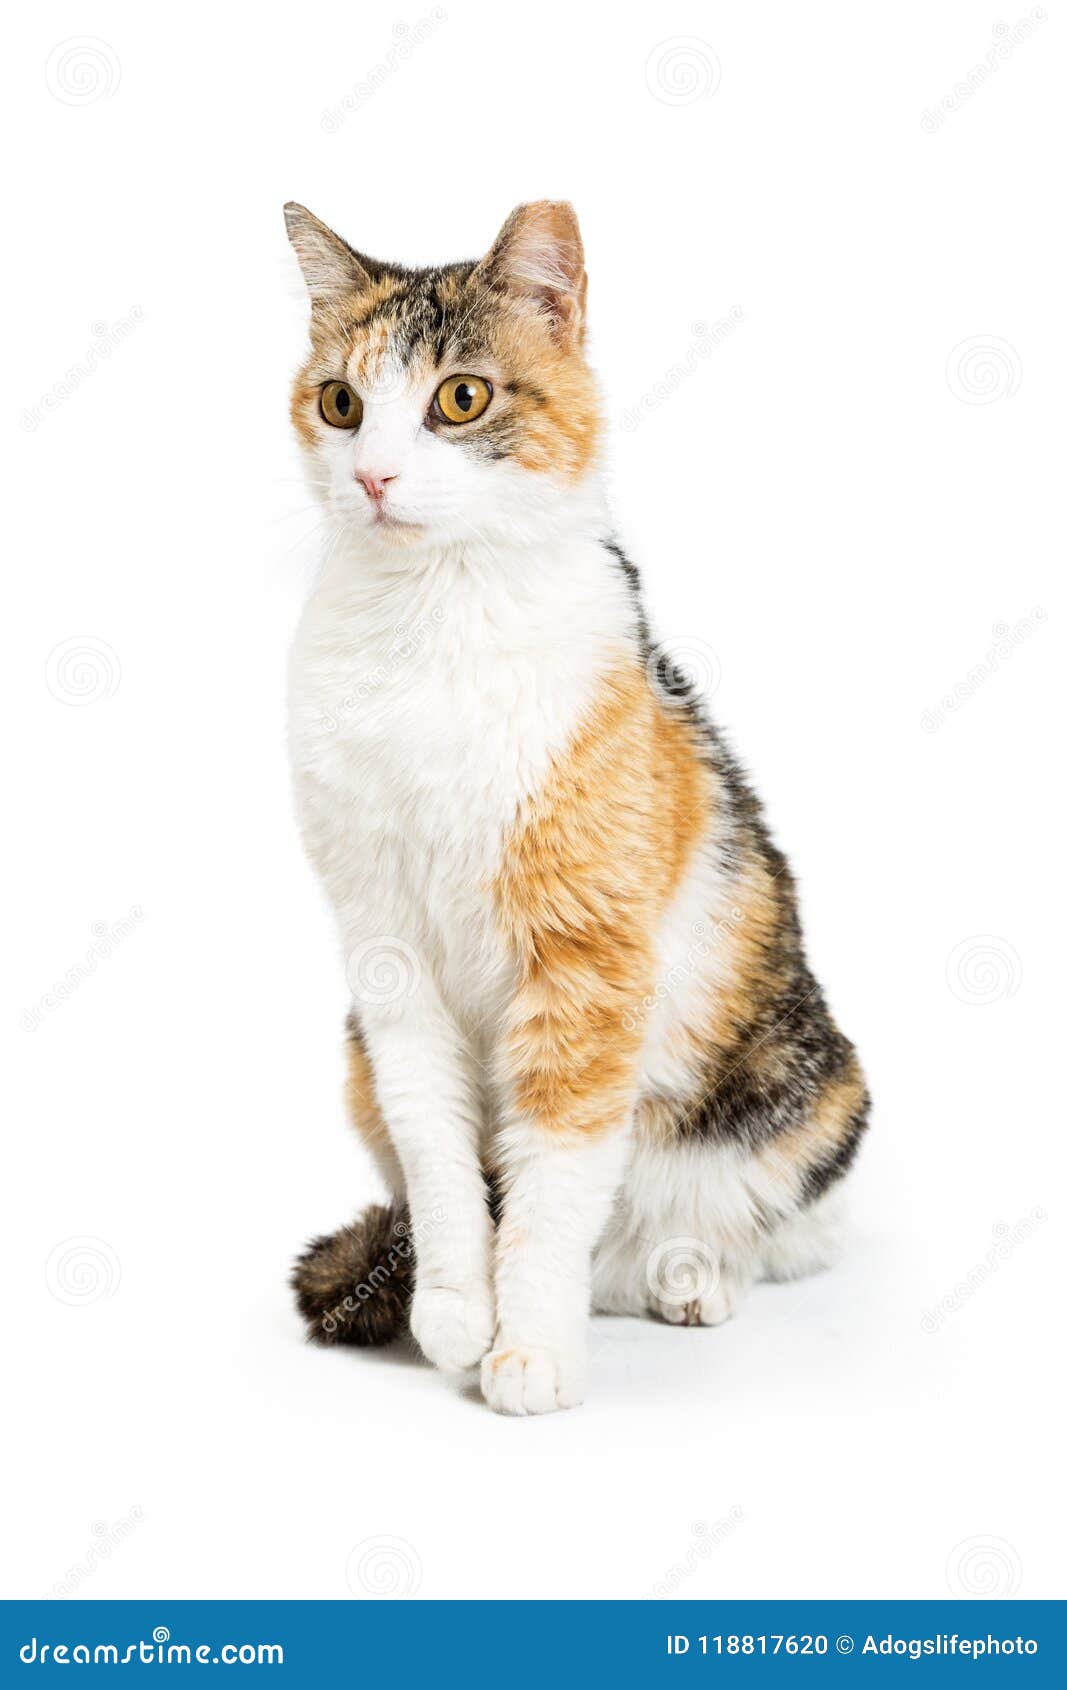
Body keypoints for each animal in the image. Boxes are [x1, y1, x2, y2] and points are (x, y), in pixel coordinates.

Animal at [284, 197, 865, 1412]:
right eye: (341, 402)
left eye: (461, 397)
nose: (373, 479)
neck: (432, 625)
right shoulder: (385, 957)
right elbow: (441, 1151)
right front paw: (456, 1310)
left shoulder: (587, 963)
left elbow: (554, 1169)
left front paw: (532, 1352)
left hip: (815, 1088)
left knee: (772, 1227)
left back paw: (688, 1274)